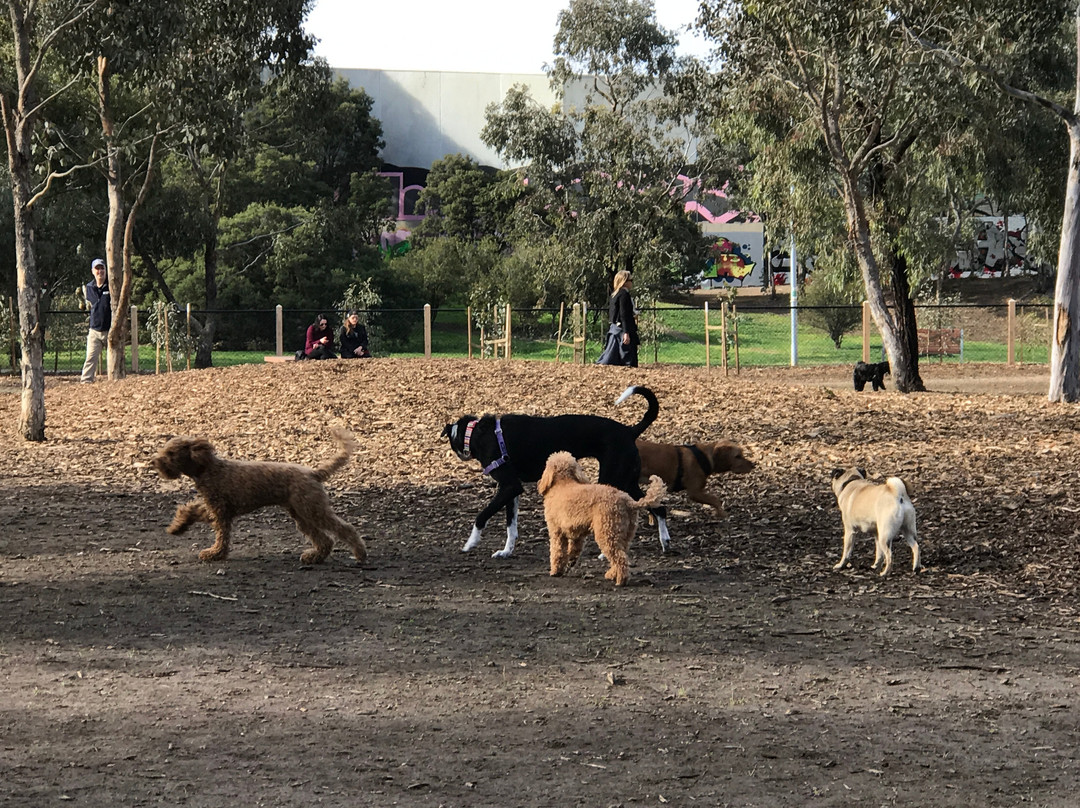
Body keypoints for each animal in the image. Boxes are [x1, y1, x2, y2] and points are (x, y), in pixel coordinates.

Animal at [151, 425, 367, 566]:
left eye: (171, 453)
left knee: (345, 529)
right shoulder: (215, 507)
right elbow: (191, 510)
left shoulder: (221, 512)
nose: (155, 462)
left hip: (313, 509)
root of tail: (313, 473)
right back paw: (314, 557)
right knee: (325, 540)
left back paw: (360, 554)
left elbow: (221, 536)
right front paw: (177, 527)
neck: (208, 469)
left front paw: (215, 554)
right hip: (301, 513)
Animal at [540, 447, 665, 587]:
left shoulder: (556, 532)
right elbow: (573, 551)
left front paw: (555, 571)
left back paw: (621, 580)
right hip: (624, 534)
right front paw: (570, 563)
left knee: (620, 558)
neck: (563, 482)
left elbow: (557, 552)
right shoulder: (577, 534)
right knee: (621, 554)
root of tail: (629, 502)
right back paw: (612, 574)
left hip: (607, 532)